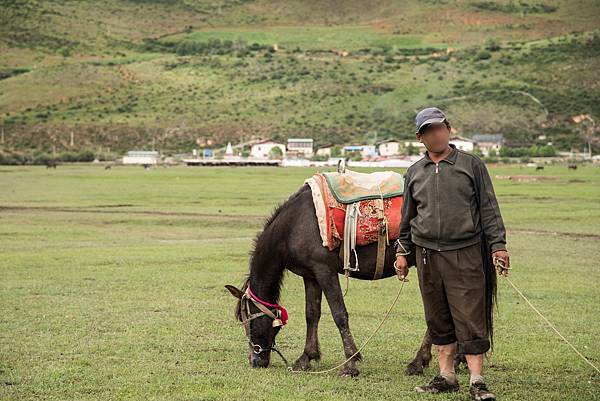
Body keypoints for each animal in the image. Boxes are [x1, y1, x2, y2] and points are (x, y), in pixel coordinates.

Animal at [223, 183, 434, 376]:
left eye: (245, 319)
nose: (255, 359)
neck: (291, 227)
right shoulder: (310, 275)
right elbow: (311, 314)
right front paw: (306, 358)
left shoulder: (325, 271)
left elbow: (339, 314)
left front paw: (350, 364)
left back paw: (417, 362)